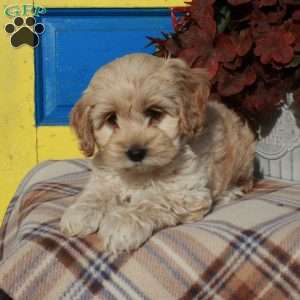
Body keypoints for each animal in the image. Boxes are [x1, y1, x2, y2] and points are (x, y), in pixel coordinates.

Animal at [60, 53, 255, 253]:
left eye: (154, 113)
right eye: (111, 118)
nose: (136, 153)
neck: (139, 174)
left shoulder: (186, 192)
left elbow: (153, 200)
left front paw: (122, 223)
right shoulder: (105, 175)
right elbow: (97, 192)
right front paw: (81, 212)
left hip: (243, 157)